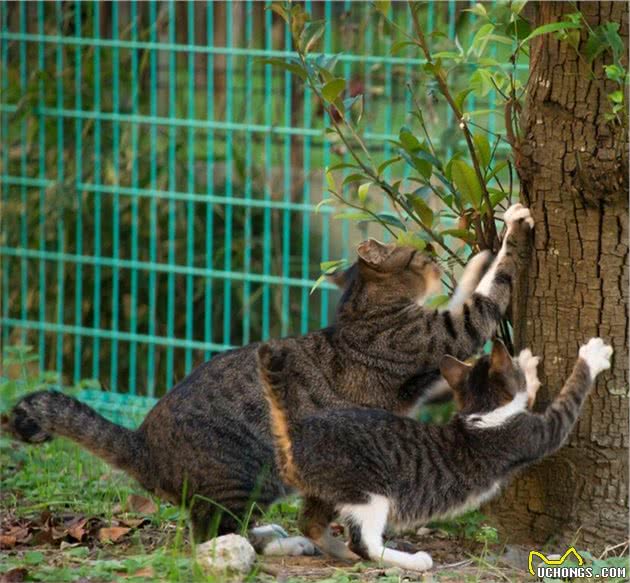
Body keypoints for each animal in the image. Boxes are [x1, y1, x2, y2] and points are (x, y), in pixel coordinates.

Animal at [6, 204, 532, 548]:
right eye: (419, 251)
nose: (434, 255)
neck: (362, 312)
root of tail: (142, 444)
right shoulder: (441, 337)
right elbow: (481, 299)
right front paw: (506, 236)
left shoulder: (430, 375)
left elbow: (468, 292)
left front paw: (477, 257)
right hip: (244, 472)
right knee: (209, 533)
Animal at [256, 338, 612, 572]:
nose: (515, 356)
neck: (482, 412)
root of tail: (297, 427)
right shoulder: (535, 433)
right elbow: (568, 398)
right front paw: (591, 356)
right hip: (369, 490)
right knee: (364, 542)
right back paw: (413, 561)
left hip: (329, 487)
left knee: (311, 524)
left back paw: (340, 552)